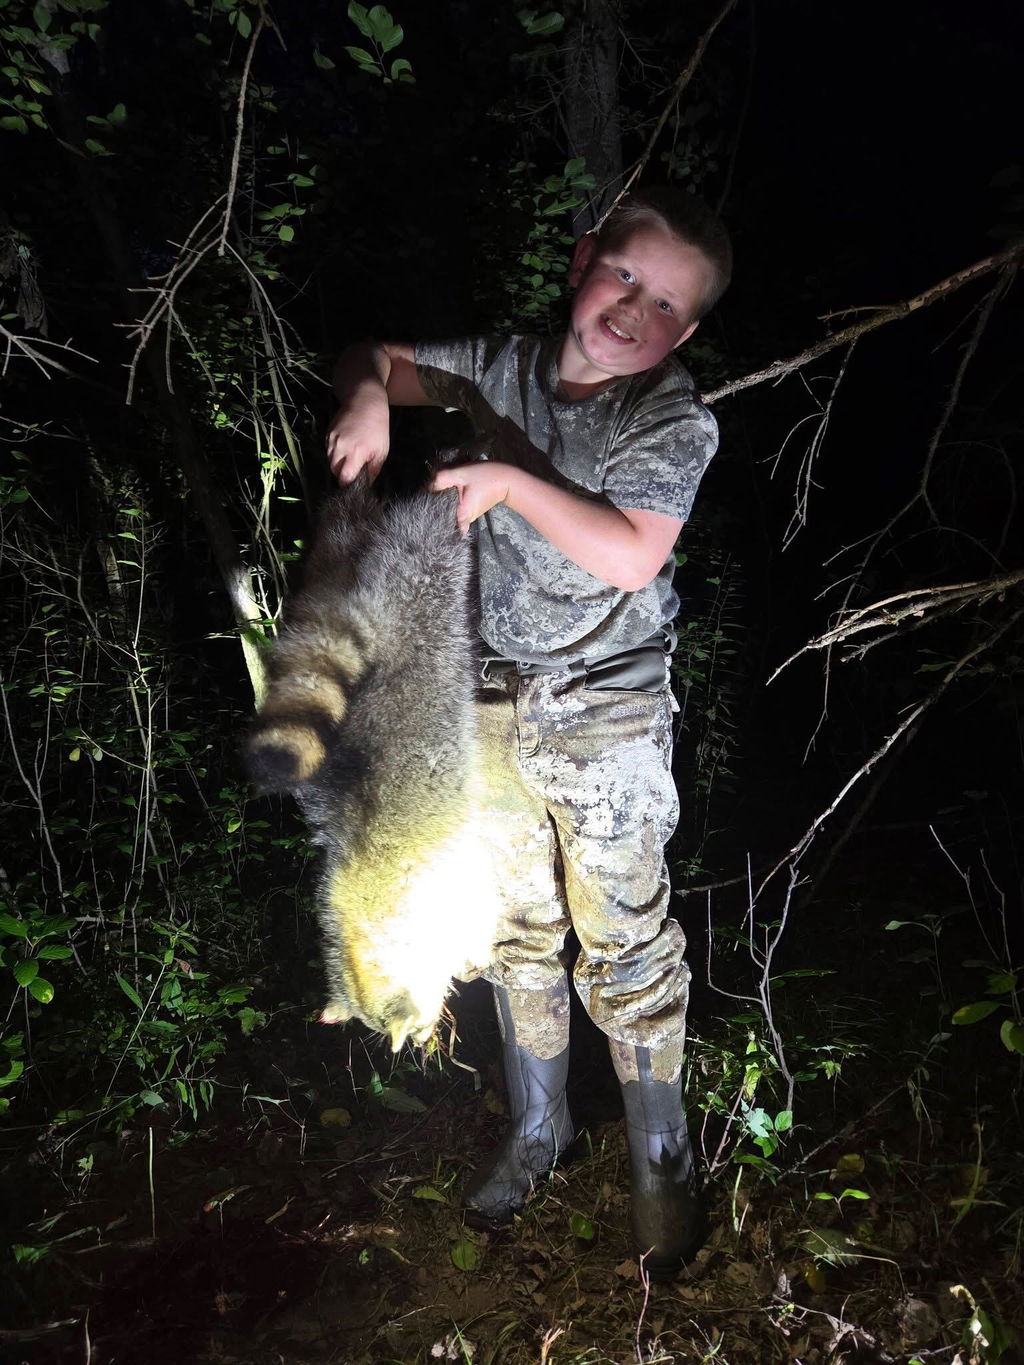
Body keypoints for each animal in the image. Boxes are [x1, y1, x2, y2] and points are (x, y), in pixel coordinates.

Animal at [245, 475, 499, 1050]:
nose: (420, 1043)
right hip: (339, 555)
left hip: (422, 574)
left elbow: (479, 905)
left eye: (415, 1023)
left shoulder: (446, 878)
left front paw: (475, 948)